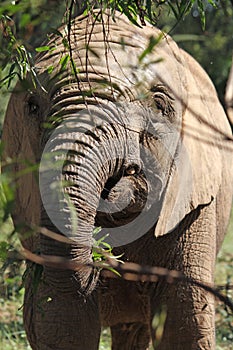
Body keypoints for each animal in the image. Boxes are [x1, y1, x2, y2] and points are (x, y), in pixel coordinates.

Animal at [2, 9, 233, 350]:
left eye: (160, 104)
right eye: (32, 106)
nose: (104, 262)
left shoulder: (195, 202)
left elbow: (184, 318)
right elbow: (61, 316)